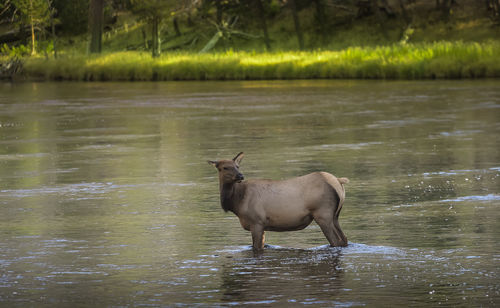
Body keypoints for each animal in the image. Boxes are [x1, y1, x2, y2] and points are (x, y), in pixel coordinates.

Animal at [207, 152, 348, 253]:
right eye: (224, 167)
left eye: (237, 166)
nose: (240, 176)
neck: (237, 202)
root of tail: (338, 181)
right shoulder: (261, 225)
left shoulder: (257, 221)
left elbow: (256, 248)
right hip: (335, 215)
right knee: (344, 240)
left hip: (323, 213)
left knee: (336, 241)